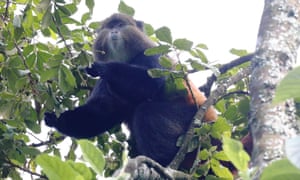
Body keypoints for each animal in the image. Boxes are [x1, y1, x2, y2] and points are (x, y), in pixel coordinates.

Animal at [45, 13, 216, 167]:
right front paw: (56, 119)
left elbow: (151, 83)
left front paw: (102, 67)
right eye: (110, 27)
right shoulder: (104, 84)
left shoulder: (152, 54)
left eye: (120, 25)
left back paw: (162, 161)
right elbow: (101, 112)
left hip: (193, 121)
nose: (114, 31)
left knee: (146, 111)